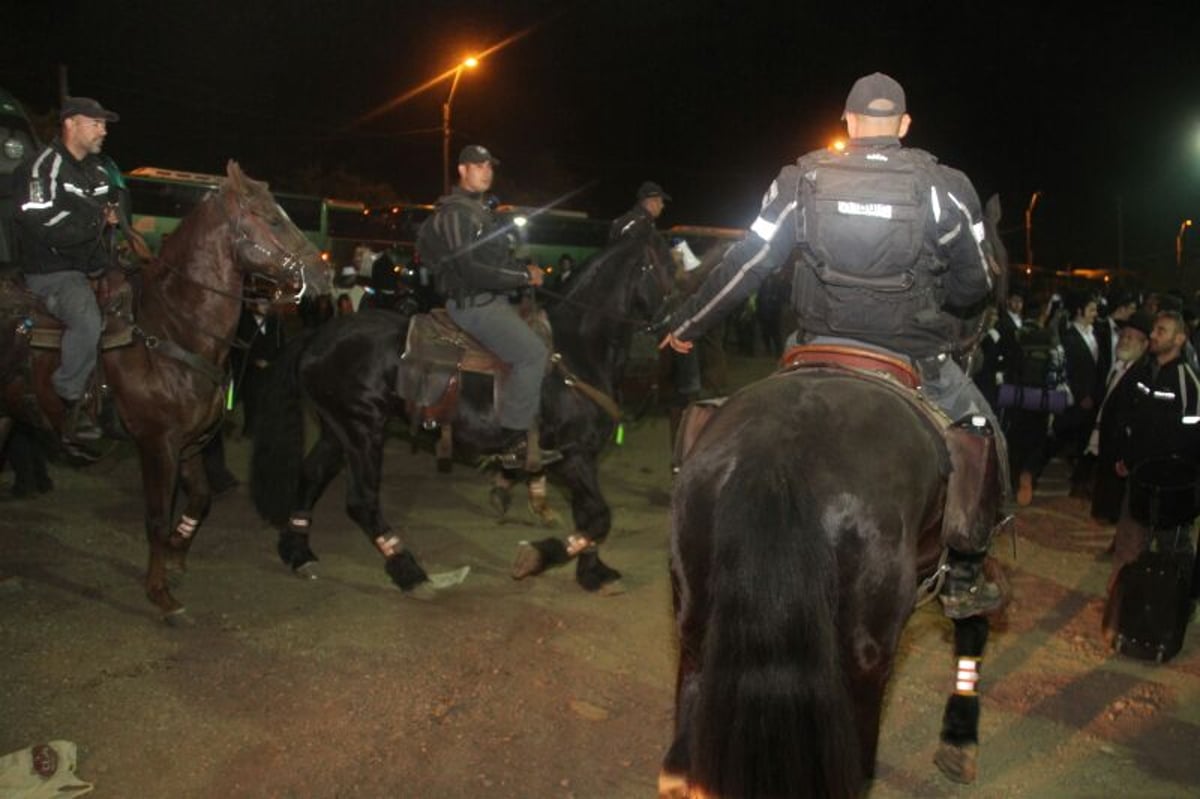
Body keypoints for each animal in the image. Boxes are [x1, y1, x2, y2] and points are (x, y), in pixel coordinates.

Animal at [0, 161, 328, 623]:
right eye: (274, 219)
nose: (323, 273)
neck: (174, 330)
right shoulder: (157, 444)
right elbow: (156, 517)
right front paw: (160, 592)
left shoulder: (188, 444)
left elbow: (201, 499)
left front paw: (175, 553)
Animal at [250, 231, 676, 590]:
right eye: (666, 269)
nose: (678, 325)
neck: (576, 350)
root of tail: (318, 335)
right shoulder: (572, 456)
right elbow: (599, 516)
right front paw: (537, 558)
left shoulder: (581, 457)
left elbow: (591, 517)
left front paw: (593, 572)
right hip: (362, 430)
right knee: (361, 501)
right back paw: (408, 569)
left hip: (337, 429)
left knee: (311, 476)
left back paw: (298, 551)